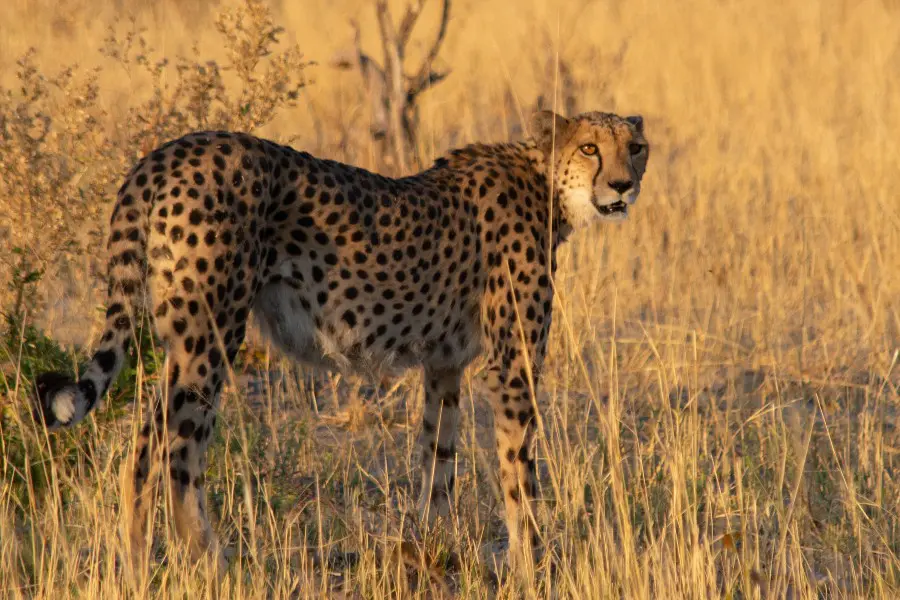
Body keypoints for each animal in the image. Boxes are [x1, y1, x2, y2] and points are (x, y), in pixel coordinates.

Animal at [33, 109, 649, 574]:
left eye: (636, 147)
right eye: (590, 148)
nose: (623, 185)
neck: (545, 182)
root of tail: (170, 148)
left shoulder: (445, 363)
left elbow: (438, 458)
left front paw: (431, 546)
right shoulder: (513, 365)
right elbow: (519, 467)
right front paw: (534, 561)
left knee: (169, 448)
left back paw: (179, 562)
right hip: (209, 332)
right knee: (158, 448)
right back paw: (177, 563)